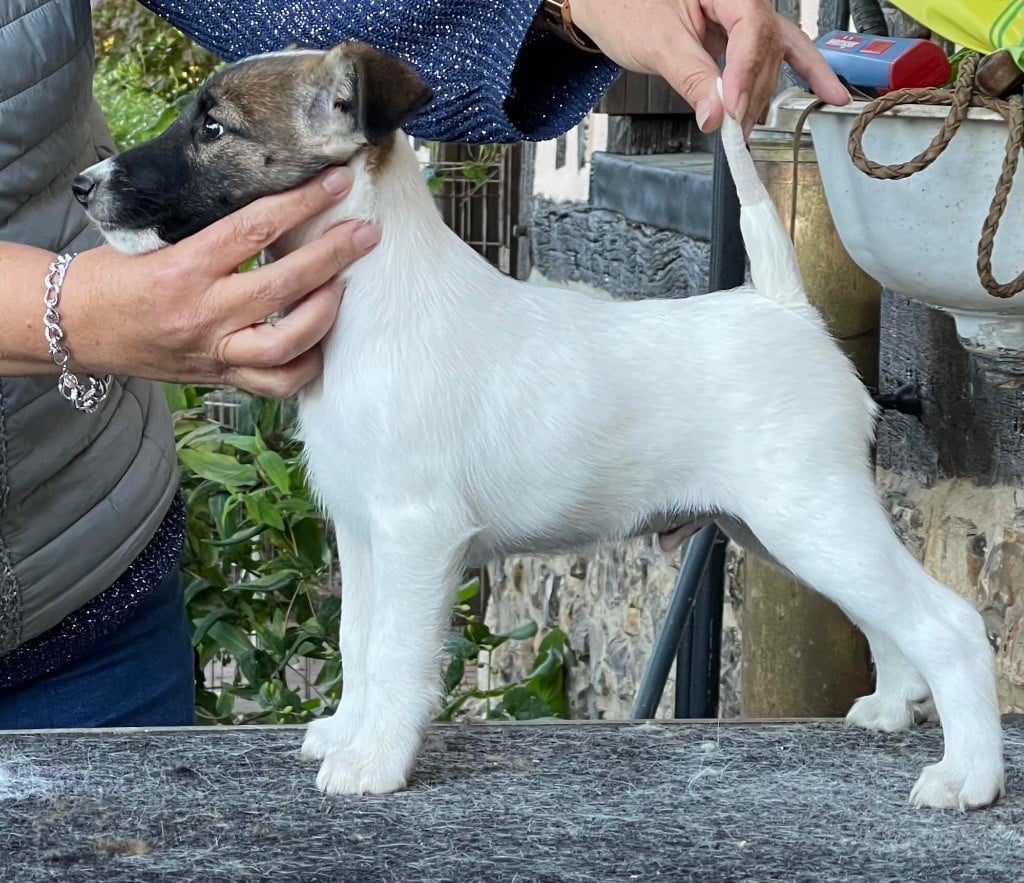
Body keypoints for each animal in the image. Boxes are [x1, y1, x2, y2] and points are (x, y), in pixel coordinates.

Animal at [74, 43, 1004, 809]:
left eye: (213, 128)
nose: (85, 186)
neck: (375, 293)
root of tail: (783, 305)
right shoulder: (364, 532)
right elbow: (357, 640)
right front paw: (349, 727)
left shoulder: (416, 534)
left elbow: (396, 652)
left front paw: (376, 760)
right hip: (782, 526)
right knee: (887, 618)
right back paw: (892, 705)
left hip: (809, 516)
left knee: (949, 623)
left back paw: (969, 776)